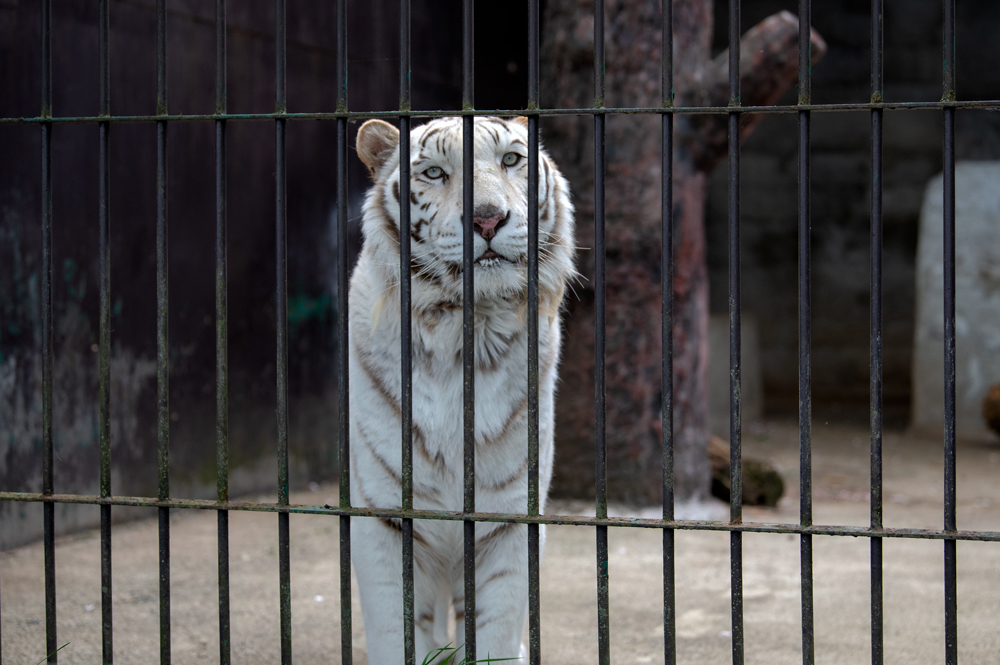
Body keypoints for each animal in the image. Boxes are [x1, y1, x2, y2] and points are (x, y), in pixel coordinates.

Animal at [348, 116, 576, 660]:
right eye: (434, 172)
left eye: (511, 160)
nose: (489, 220)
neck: (463, 335)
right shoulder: (387, 516)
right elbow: (396, 631)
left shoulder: (509, 517)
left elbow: (494, 632)